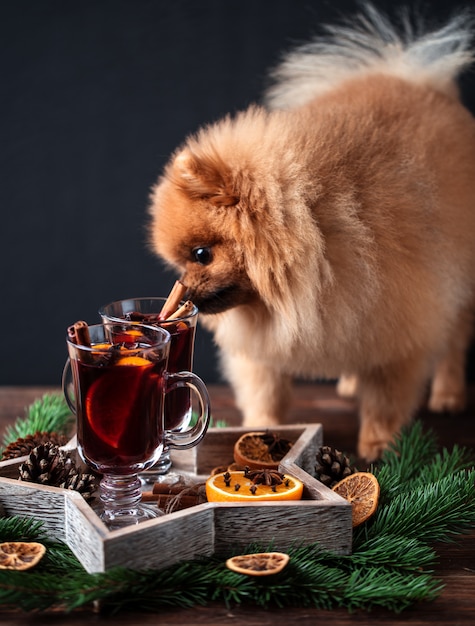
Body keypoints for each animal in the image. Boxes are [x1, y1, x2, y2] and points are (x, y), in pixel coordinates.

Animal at [151, 4, 475, 458]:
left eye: (201, 255)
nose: (178, 293)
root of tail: (421, 81)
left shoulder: (400, 323)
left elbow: (386, 397)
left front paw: (379, 443)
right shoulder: (272, 340)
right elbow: (265, 389)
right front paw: (259, 428)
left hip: (460, 284)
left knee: (455, 343)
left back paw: (449, 393)